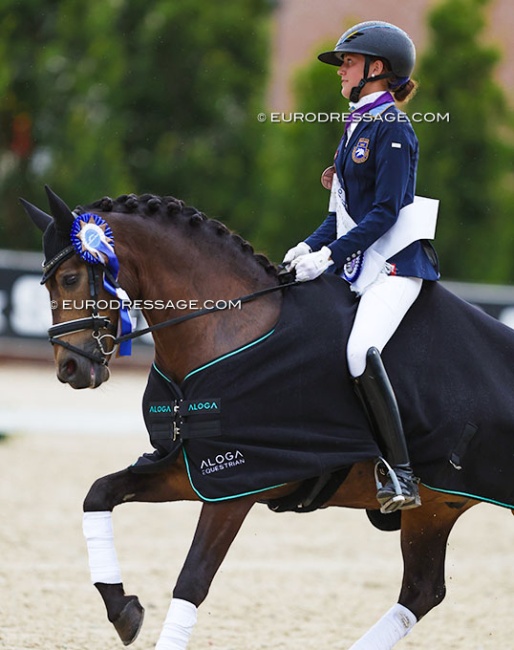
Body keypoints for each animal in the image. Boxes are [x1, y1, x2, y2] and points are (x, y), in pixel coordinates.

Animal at [22, 185, 491, 650]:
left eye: (69, 278)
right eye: (47, 284)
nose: (69, 368)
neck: (227, 326)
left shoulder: (239, 482)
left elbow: (192, 580)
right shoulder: (193, 469)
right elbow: (98, 494)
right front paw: (123, 610)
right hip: (436, 508)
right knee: (422, 590)